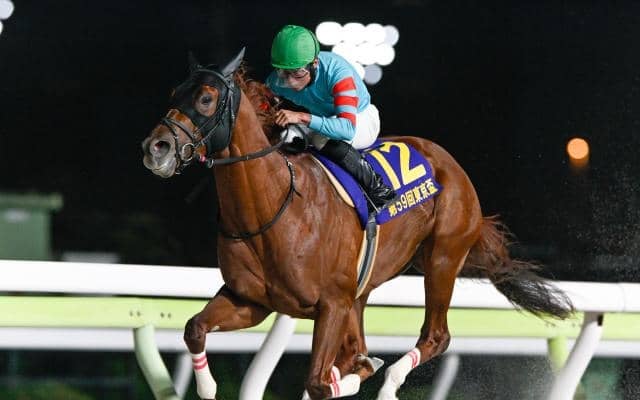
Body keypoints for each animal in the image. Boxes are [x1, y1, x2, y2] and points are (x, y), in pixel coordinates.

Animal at [141, 48, 573, 400]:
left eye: (206, 98)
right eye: (173, 93)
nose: (155, 148)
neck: (270, 211)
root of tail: (448, 162)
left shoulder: (331, 304)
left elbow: (321, 381)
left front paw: (356, 375)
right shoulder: (252, 302)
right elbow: (194, 328)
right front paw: (207, 387)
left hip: (442, 258)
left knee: (436, 335)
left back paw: (390, 380)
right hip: (364, 289)